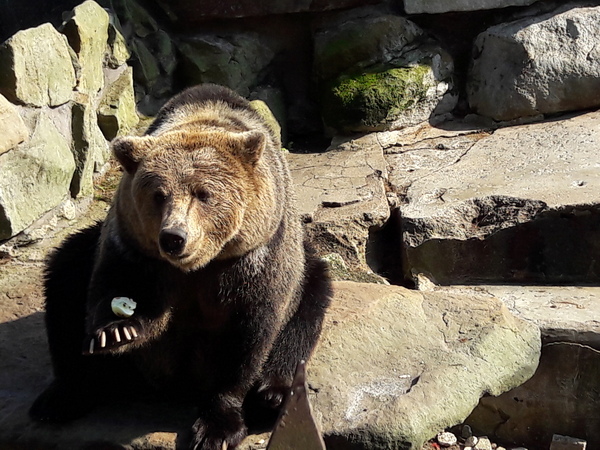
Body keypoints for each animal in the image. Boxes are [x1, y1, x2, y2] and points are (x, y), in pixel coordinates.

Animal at [30, 85, 332, 450]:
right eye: (158, 194)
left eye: (204, 194)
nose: (174, 237)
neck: (201, 265)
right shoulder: (135, 248)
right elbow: (123, 292)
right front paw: (117, 329)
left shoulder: (255, 257)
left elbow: (247, 336)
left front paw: (218, 428)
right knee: (64, 281)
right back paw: (62, 396)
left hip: (304, 274)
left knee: (308, 308)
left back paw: (272, 395)